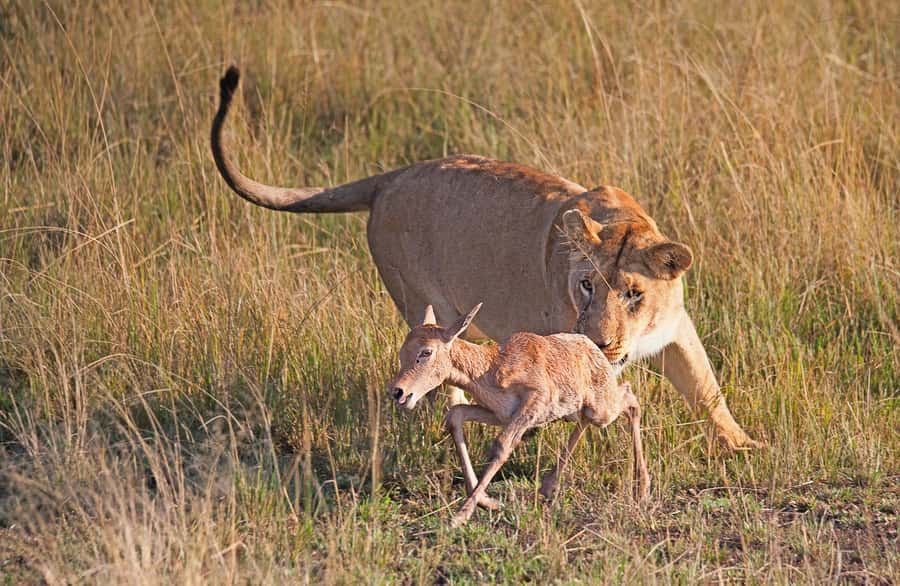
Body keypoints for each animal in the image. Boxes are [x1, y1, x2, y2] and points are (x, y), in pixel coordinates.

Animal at [211, 66, 758, 450]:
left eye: (633, 293)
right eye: (586, 285)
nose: (601, 343)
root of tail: (391, 177)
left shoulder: (678, 331)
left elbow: (708, 390)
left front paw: (744, 446)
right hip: (420, 300)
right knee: (434, 355)